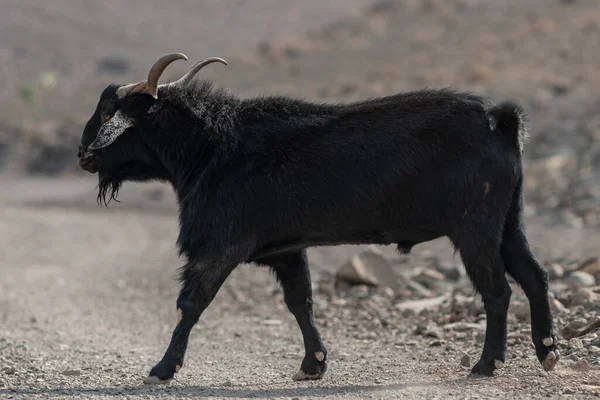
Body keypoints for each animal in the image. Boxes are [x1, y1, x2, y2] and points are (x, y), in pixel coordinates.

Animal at [77, 52, 560, 382]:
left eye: (110, 112)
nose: (82, 154)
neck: (212, 145)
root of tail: (500, 121)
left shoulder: (221, 245)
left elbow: (192, 302)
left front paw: (163, 368)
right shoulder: (287, 250)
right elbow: (300, 303)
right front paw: (314, 364)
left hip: (474, 227)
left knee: (498, 289)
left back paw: (487, 363)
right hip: (508, 222)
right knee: (534, 276)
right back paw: (547, 350)